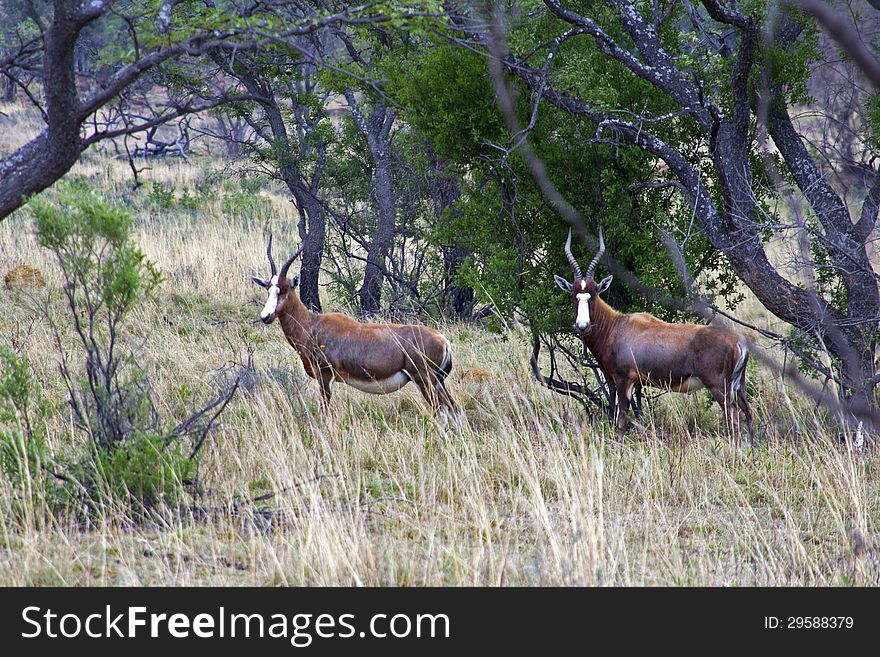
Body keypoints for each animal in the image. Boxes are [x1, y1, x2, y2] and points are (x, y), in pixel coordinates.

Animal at [251, 236, 458, 420]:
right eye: (268, 288)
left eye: (284, 288)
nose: (265, 316)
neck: (313, 324)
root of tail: (443, 341)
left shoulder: (325, 376)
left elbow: (323, 412)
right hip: (437, 382)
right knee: (454, 410)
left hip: (425, 381)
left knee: (442, 410)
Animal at [552, 228, 752, 438]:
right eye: (574, 296)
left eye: (593, 294)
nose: (582, 325)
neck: (617, 325)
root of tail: (738, 342)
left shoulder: (624, 380)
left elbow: (621, 421)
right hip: (739, 386)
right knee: (748, 413)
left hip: (718, 387)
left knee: (734, 420)